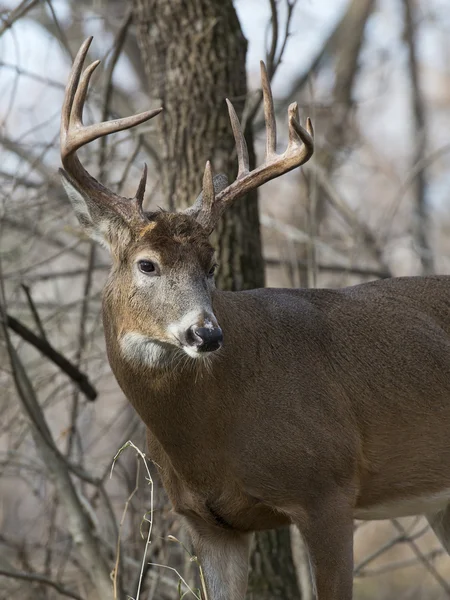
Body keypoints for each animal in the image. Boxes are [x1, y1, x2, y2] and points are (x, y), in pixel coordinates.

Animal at [60, 38, 450, 600]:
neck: (210, 435)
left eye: (212, 265)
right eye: (147, 264)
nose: (206, 333)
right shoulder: (208, 522)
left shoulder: (328, 489)